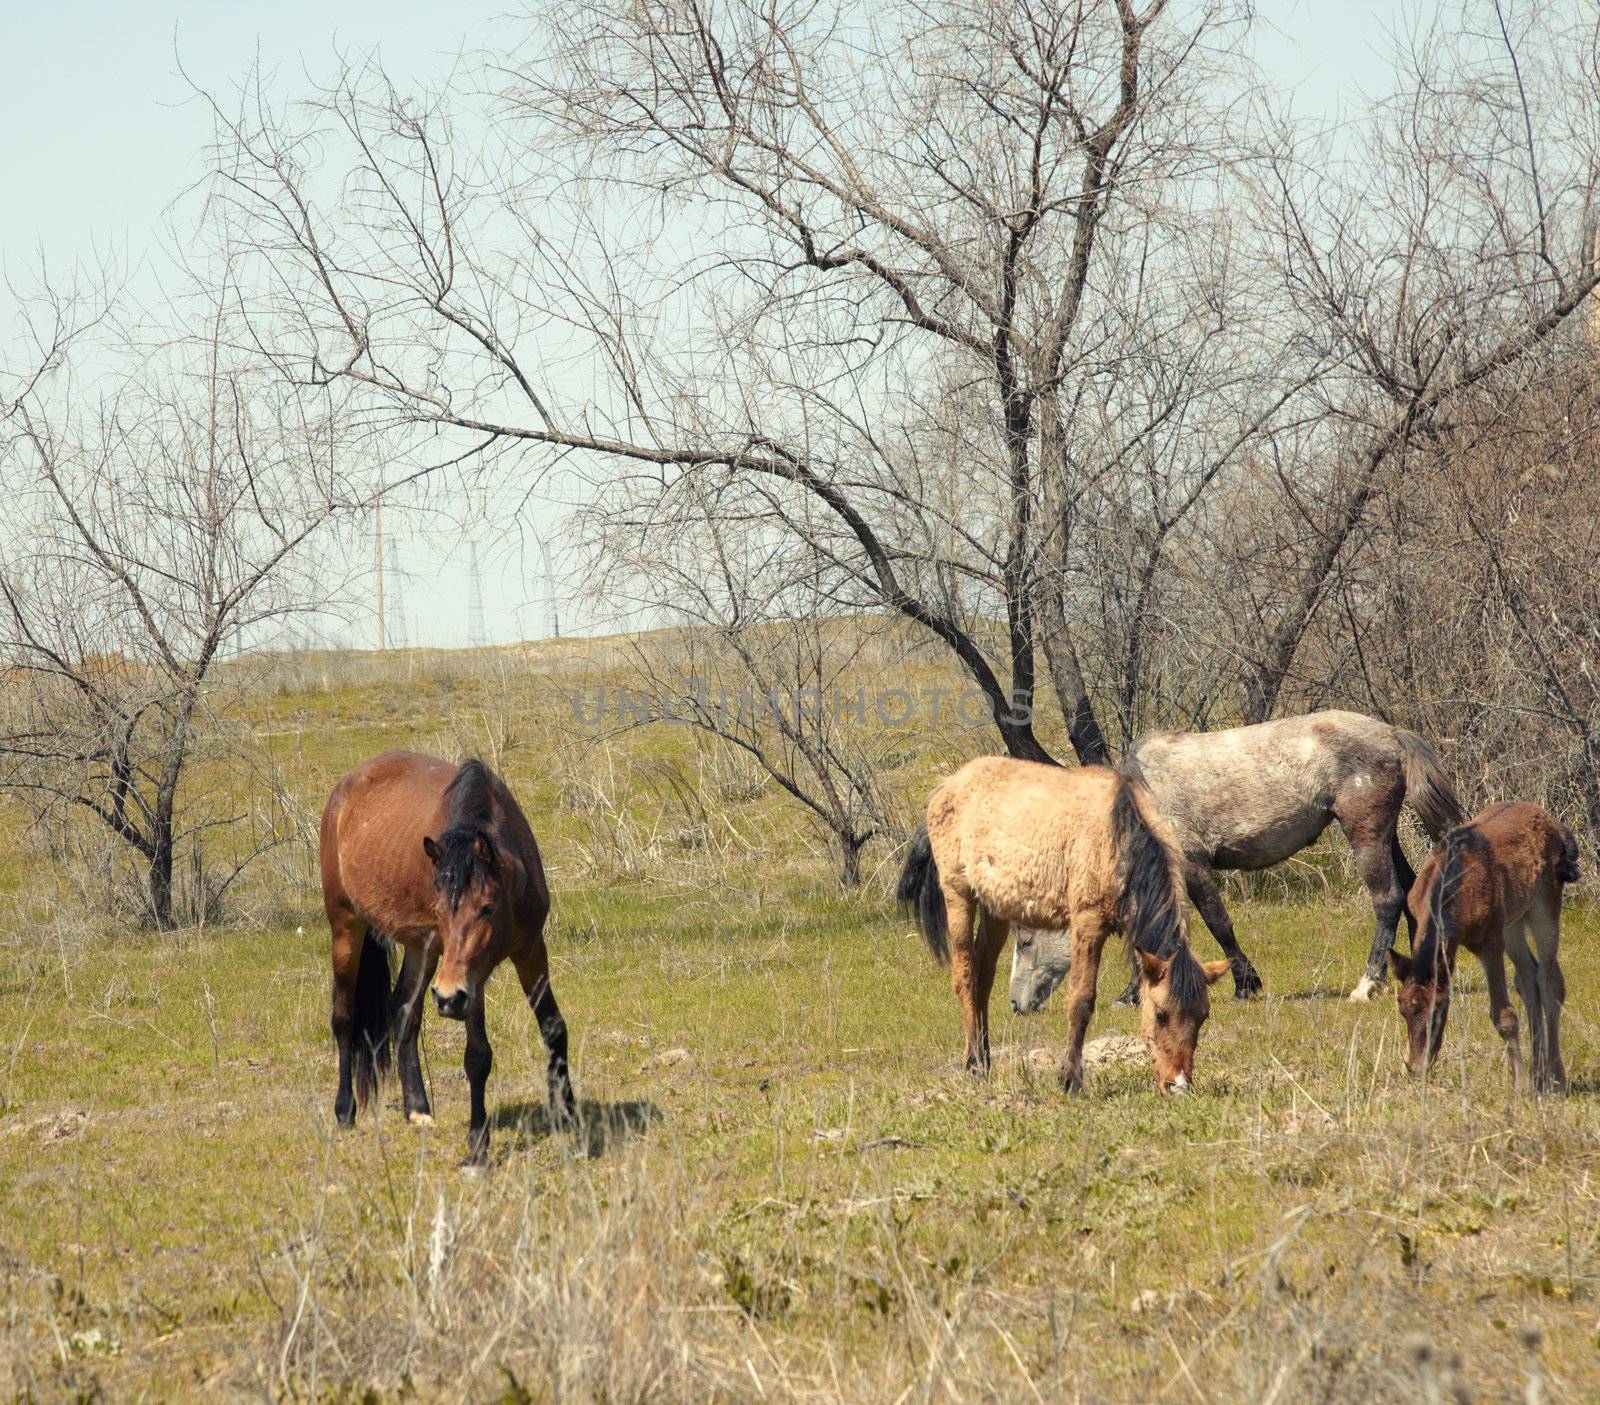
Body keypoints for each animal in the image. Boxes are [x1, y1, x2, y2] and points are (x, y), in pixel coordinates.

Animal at [318, 752, 576, 1171]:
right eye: (441, 909)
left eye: (487, 908)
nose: (448, 997)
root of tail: (346, 787)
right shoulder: (472, 979)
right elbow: (478, 1056)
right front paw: (477, 1147)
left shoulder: (529, 949)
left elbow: (553, 1026)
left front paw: (569, 1113)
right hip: (346, 926)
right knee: (344, 1016)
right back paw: (345, 1112)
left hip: (423, 951)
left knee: (403, 1011)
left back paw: (417, 1109)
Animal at [902, 758, 1222, 1100]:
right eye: (1161, 1014)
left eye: (1203, 1016)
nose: (1179, 1086)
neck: (1118, 836)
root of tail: (948, 784)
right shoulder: (1087, 923)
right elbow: (1081, 1000)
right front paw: (1071, 1080)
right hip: (958, 895)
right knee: (965, 978)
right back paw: (973, 1063)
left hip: (994, 910)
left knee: (982, 980)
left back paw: (985, 1060)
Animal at [1011, 713, 1465, 1011]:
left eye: (1026, 940)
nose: (1016, 1003)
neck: (1143, 794)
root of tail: (1392, 733)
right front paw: (1131, 993)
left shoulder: (1192, 866)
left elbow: (1218, 924)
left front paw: (1245, 985)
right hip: (1385, 836)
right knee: (1411, 892)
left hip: (1365, 833)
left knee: (1388, 899)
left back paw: (1367, 984)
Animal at [1388, 809, 1574, 1094]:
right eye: (1403, 1009)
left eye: (1438, 1011)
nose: (1415, 1067)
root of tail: (1554, 824)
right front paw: (1526, 1079)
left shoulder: (1490, 943)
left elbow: (1504, 1015)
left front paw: (1520, 1084)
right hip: (1512, 923)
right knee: (1528, 978)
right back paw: (1539, 1075)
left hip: (1544, 904)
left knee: (1550, 980)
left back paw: (1555, 1079)